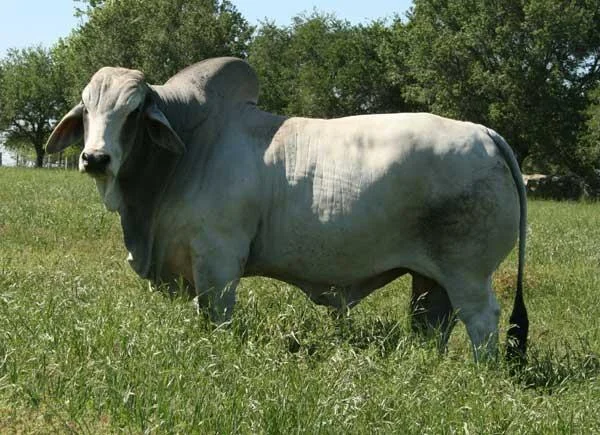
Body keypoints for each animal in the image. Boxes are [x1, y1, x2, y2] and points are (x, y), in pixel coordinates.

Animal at [46, 57, 528, 363]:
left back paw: (479, 374)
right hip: (431, 277)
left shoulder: (218, 260)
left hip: (468, 272)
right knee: (433, 321)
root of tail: (484, 133)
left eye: (132, 112)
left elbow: (216, 316)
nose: (95, 158)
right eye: (87, 109)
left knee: (482, 318)